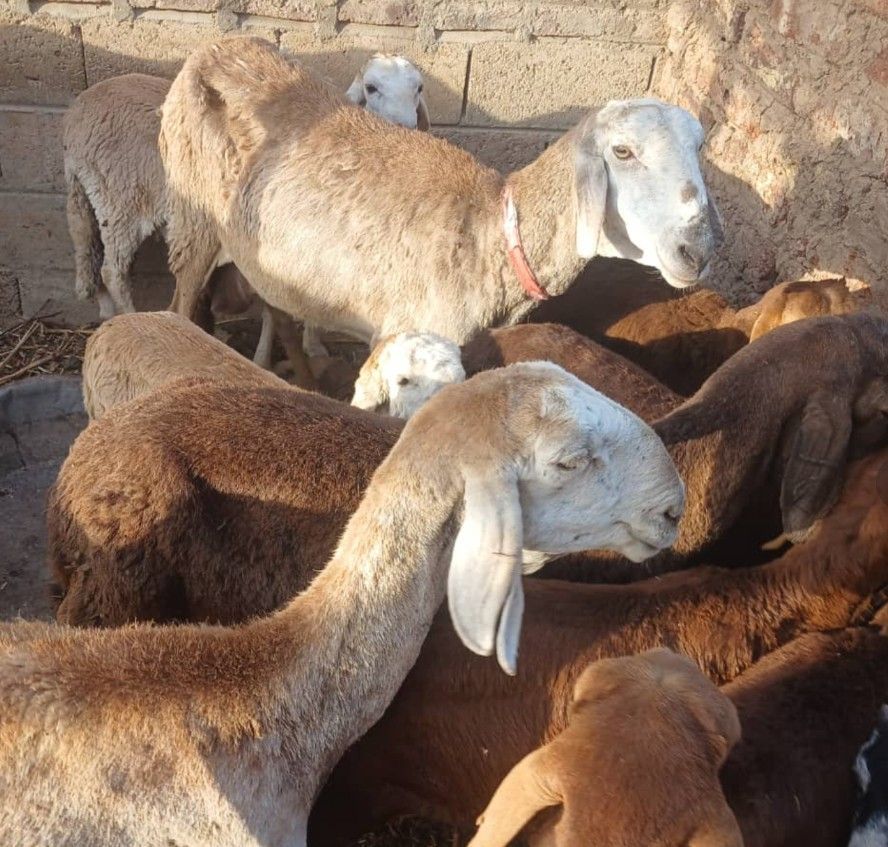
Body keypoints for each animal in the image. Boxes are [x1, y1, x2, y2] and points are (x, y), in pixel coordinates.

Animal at [160, 37, 721, 349]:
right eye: (622, 152)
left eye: (699, 146)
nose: (700, 250)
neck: (491, 235)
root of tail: (216, 45)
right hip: (192, 218)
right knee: (180, 301)